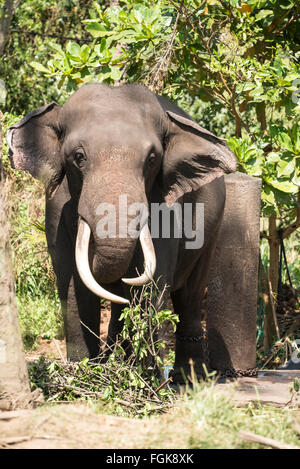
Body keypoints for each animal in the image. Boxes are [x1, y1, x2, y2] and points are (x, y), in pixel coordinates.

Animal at [6, 84, 237, 382]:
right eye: (78, 157)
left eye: (152, 159)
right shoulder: (56, 209)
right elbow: (73, 285)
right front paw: (86, 373)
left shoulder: (162, 205)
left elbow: (151, 284)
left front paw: (140, 379)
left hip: (214, 223)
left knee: (189, 295)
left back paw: (187, 379)